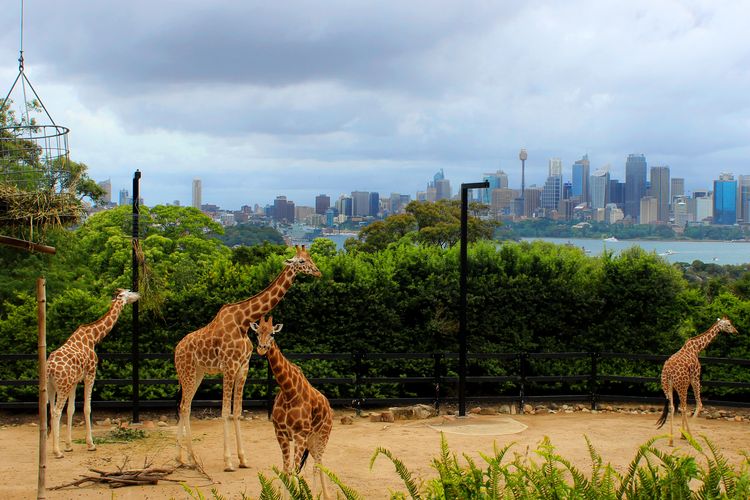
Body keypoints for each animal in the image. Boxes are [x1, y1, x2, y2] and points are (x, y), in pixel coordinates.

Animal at [46, 290, 141, 458]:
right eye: (128, 292)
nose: (138, 294)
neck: (93, 337)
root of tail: (49, 367)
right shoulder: (90, 374)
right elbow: (87, 408)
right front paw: (91, 444)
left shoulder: (74, 381)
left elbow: (71, 410)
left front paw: (69, 446)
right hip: (62, 386)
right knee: (57, 412)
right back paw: (57, 452)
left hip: (52, 386)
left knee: (51, 411)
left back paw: (54, 448)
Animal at [176, 246, 324, 472]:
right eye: (300, 261)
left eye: (310, 259)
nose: (317, 272)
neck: (243, 321)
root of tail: (176, 349)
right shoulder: (229, 366)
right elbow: (224, 411)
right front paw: (228, 462)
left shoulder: (243, 367)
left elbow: (237, 411)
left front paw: (243, 459)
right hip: (188, 372)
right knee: (184, 407)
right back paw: (190, 458)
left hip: (198, 373)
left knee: (185, 406)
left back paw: (183, 459)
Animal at [251, 314, 334, 498]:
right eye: (257, 333)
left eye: (273, 333)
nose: (262, 348)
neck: (289, 392)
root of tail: (329, 407)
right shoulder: (281, 434)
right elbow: (285, 471)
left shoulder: (299, 435)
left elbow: (295, 473)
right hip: (312, 440)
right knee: (320, 463)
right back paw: (326, 496)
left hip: (323, 435)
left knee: (316, 466)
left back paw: (318, 495)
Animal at [656, 316, 740, 446]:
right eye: (729, 325)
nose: (736, 331)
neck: (696, 348)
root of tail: (668, 372)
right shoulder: (695, 377)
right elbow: (699, 404)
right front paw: (686, 435)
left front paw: (682, 434)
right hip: (682, 385)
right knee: (684, 407)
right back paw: (689, 437)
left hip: (666, 386)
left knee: (673, 407)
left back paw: (671, 440)